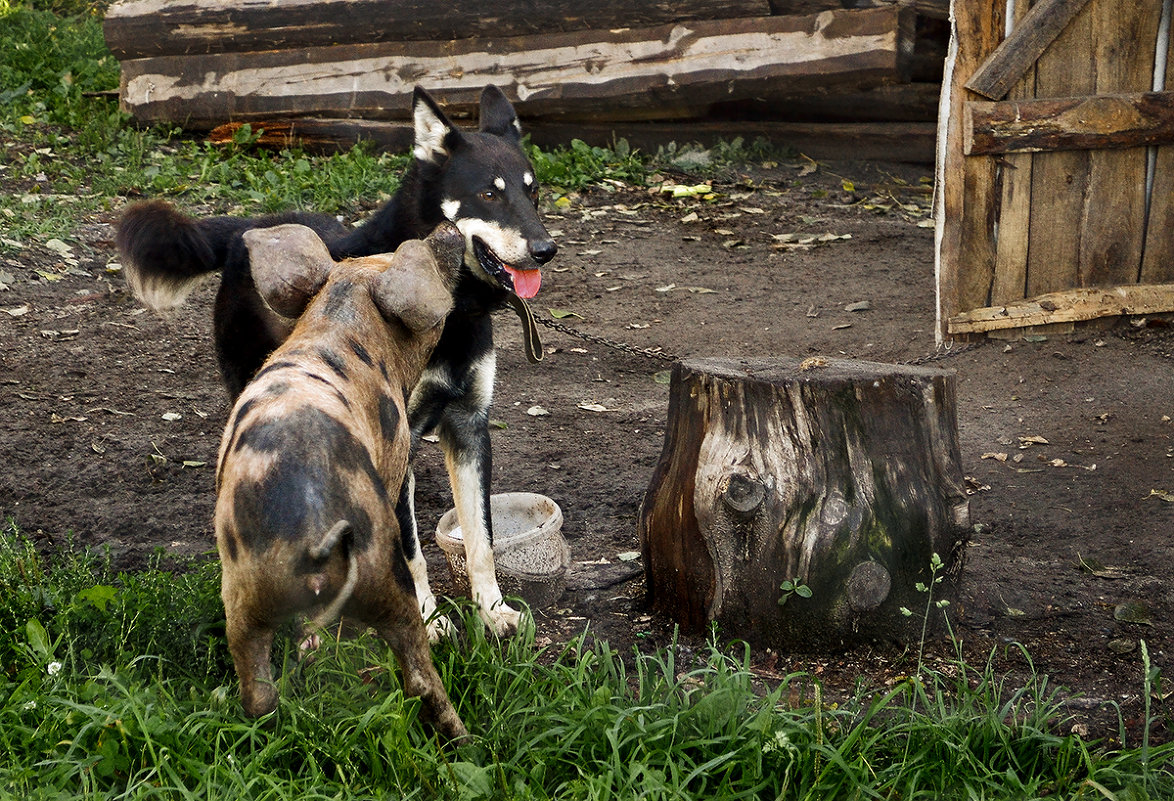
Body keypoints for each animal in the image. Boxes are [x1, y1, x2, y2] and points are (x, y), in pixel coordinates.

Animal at [116, 85, 556, 634]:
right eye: (489, 194)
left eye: (531, 191)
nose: (546, 249)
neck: (454, 311)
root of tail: (245, 228)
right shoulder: (400, 438)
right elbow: (410, 551)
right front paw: (428, 621)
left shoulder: (469, 425)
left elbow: (482, 541)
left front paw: (493, 614)